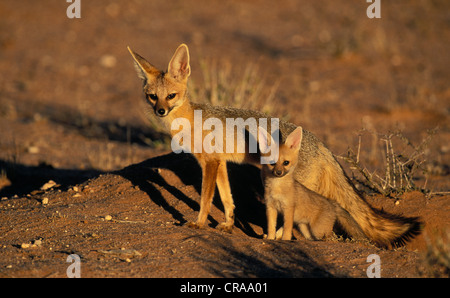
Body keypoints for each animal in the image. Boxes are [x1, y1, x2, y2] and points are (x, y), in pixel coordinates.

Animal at [127, 43, 422, 248]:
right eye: (152, 97)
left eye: (171, 96)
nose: (161, 111)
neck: (190, 119)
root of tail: (321, 142)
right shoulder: (219, 162)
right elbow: (227, 197)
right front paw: (228, 224)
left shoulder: (209, 163)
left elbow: (206, 199)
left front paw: (199, 224)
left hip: (296, 186)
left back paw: (278, 236)